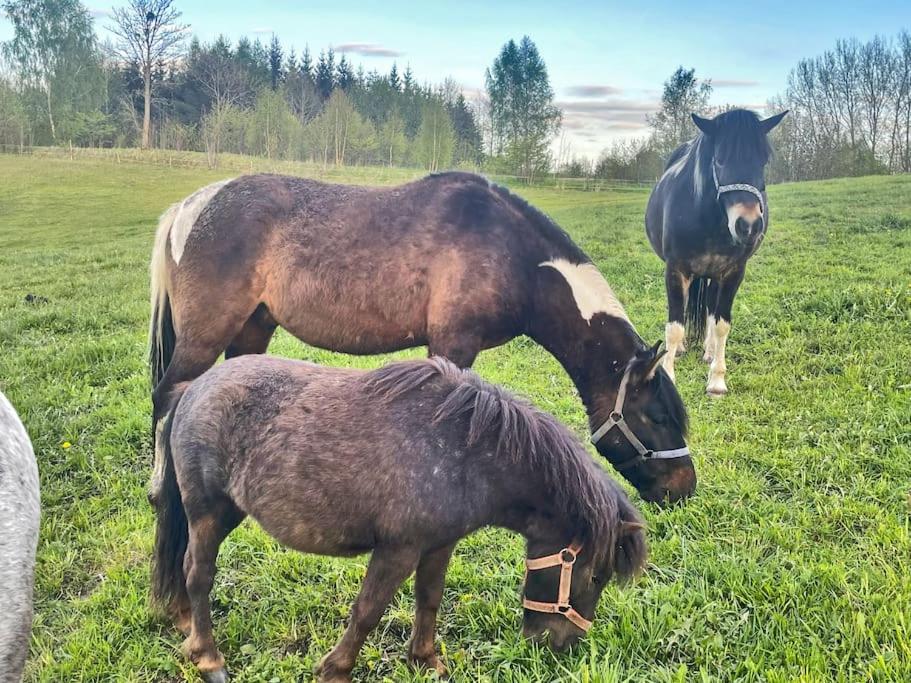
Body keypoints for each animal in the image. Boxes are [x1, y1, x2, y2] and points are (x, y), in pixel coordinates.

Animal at [148, 172, 695, 506]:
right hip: (205, 335)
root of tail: (190, 207)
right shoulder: (452, 346)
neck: (511, 255)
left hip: (252, 328)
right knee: (167, 399)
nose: (684, 488)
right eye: (657, 416)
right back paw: (159, 489)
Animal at [151, 355, 648, 683]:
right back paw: (209, 658)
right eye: (597, 576)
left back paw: (187, 628)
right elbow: (368, 611)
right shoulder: (398, 549)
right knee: (197, 573)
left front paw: (425, 661)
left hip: (227, 512)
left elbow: (428, 600)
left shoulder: (439, 545)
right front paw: (335, 669)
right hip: (207, 512)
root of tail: (193, 387)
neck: (466, 452)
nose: (559, 646)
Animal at [645, 109, 787, 395]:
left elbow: (722, 324)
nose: (749, 225)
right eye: (719, 160)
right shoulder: (676, 269)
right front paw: (669, 372)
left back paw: (709, 351)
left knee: (711, 307)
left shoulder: (733, 273)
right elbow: (674, 326)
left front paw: (717, 380)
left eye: (763, 161)